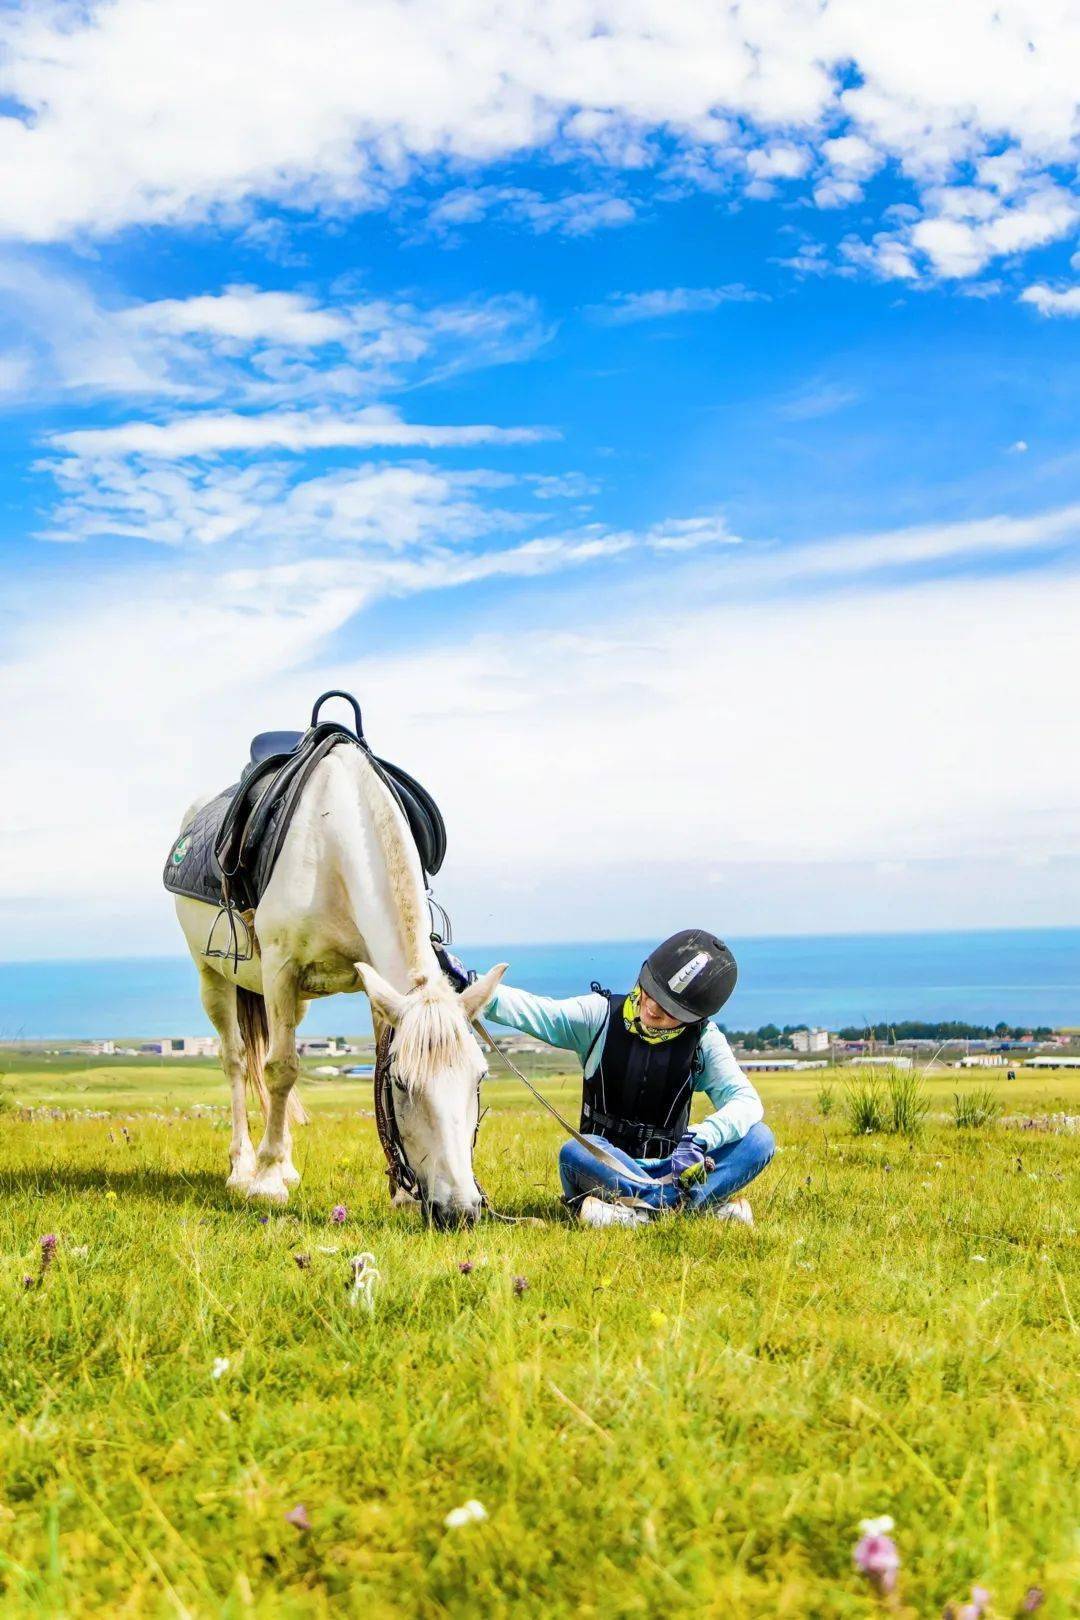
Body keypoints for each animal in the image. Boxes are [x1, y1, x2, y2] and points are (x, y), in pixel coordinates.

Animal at [174, 741, 508, 1218]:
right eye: (402, 1083)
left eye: (479, 1078)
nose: (458, 1210)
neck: (331, 843)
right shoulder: (280, 968)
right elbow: (280, 1069)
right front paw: (266, 1183)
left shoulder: (371, 984)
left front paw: (400, 1193)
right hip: (214, 977)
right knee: (237, 1060)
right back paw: (243, 1167)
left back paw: (284, 1164)